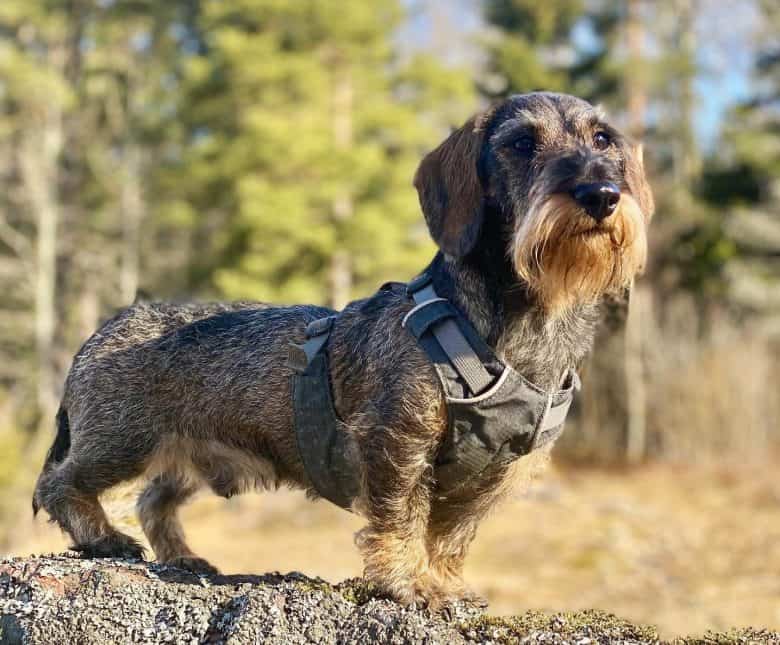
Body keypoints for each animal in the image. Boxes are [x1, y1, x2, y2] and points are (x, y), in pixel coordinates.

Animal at [32, 92, 652, 608]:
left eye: (603, 139)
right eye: (522, 143)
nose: (601, 195)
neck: (525, 322)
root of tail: (106, 327)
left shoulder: (497, 474)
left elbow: (451, 536)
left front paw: (444, 583)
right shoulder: (395, 441)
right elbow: (402, 520)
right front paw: (406, 583)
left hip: (184, 455)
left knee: (152, 500)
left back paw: (183, 556)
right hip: (121, 442)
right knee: (60, 483)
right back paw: (105, 538)